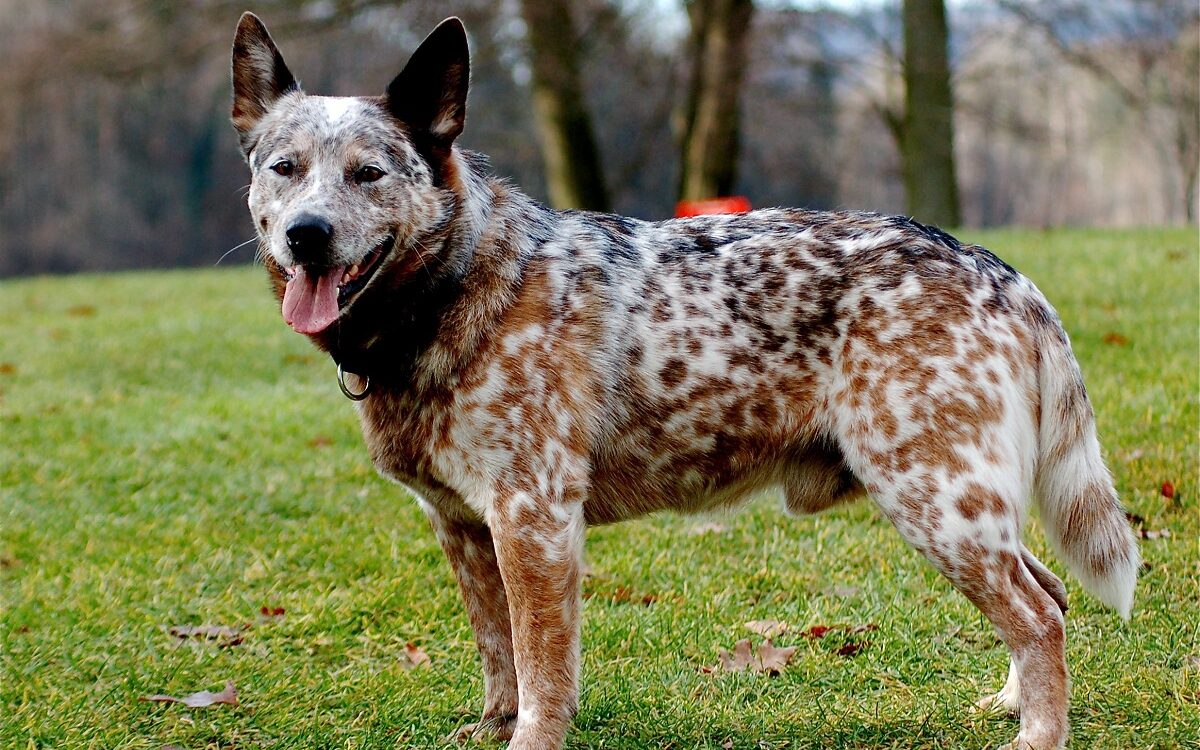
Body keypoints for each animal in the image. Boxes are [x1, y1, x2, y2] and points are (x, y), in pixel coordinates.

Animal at [229, 13, 1137, 748]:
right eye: (285, 167)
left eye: (370, 173)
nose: (307, 234)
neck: (461, 288)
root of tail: (997, 268)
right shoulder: (462, 525)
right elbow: (498, 656)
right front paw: (491, 726)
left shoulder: (534, 520)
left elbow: (541, 668)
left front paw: (530, 735)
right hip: (966, 501)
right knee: (1050, 594)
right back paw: (1011, 705)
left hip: (935, 497)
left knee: (1037, 616)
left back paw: (1039, 733)